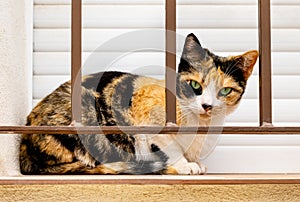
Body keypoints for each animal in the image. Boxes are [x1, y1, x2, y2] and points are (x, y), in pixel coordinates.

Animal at [19, 34, 258, 174]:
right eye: (194, 85)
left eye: (225, 91)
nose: (207, 106)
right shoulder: (144, 116)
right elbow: (170, 146)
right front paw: (185, 165)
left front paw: (195, 162)